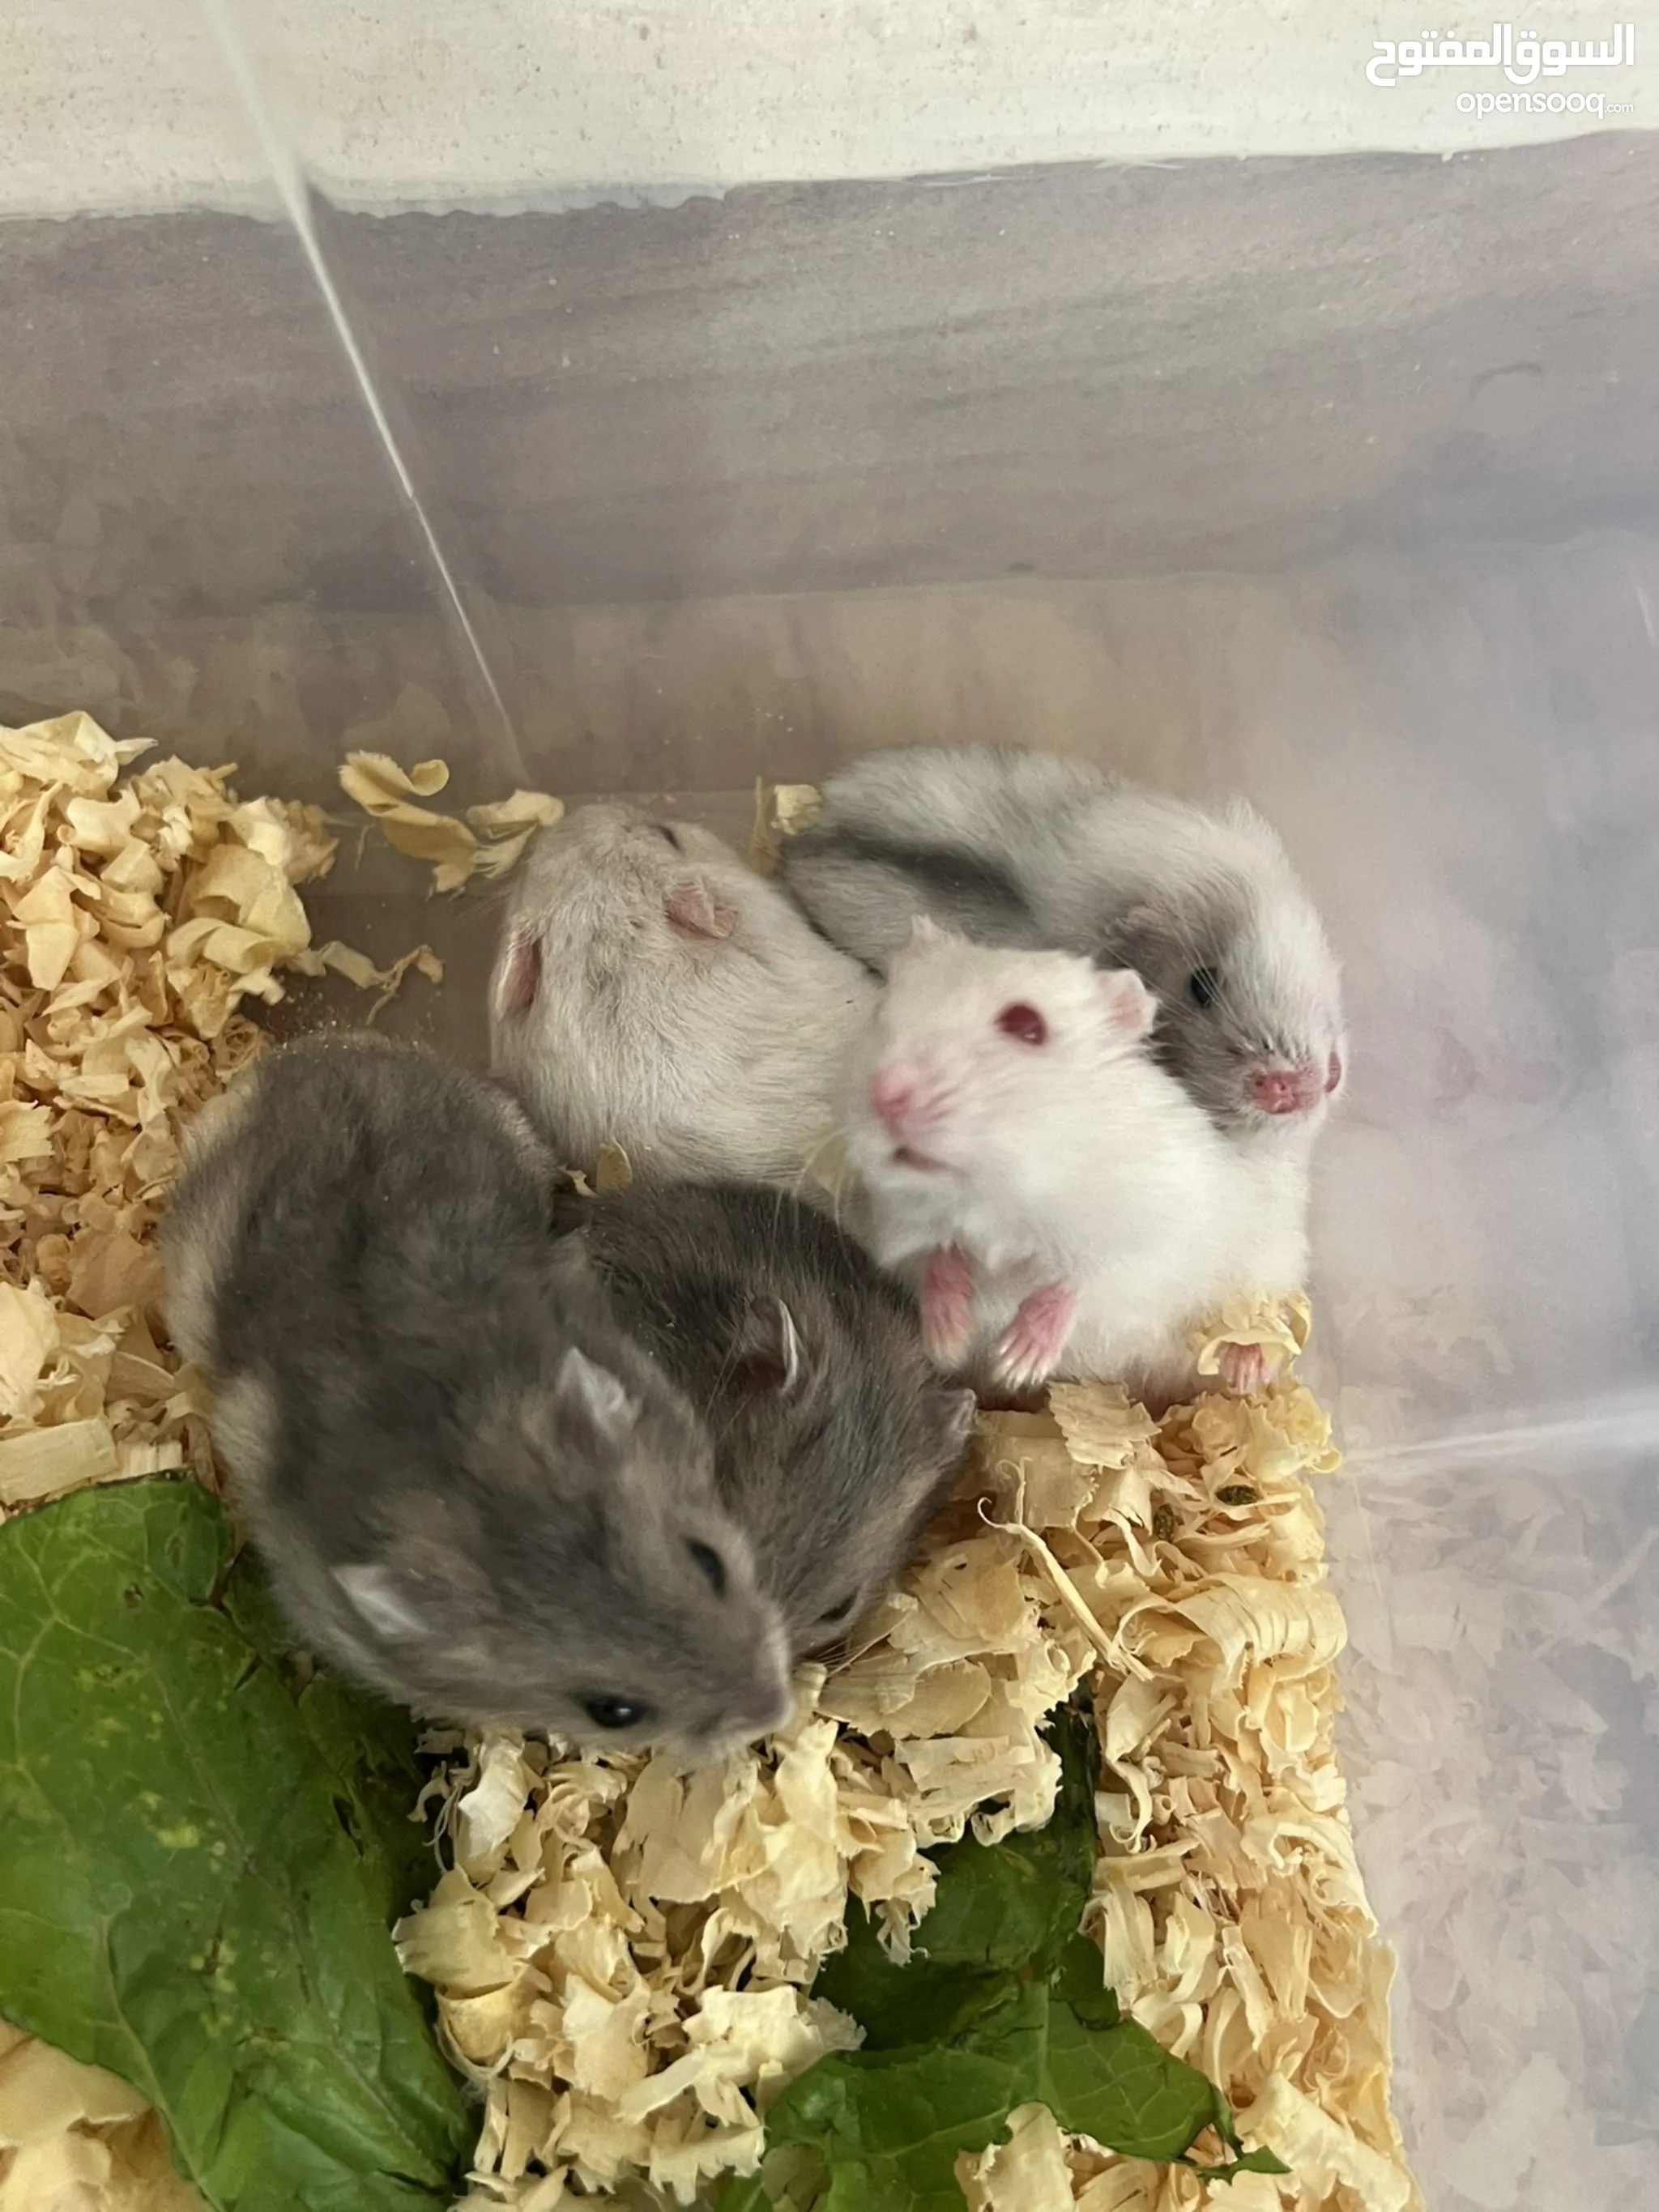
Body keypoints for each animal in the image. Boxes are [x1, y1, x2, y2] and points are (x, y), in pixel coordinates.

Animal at [841, 923, 1310, 1401]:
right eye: (881, 1011)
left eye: (1026, 1024)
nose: (885, 1096)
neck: (1004, 1190)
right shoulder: (897, 1229)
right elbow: (938, 1260)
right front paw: (949, 1342)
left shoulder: (1150, 1238)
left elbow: (1084, 1281)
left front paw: (1019, 1361)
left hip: (1275, 1256)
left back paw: (1246, 1368)